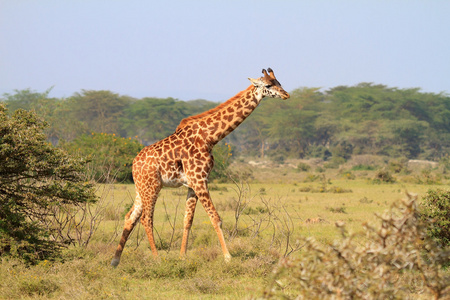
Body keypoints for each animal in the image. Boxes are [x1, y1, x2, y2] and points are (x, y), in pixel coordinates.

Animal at [110, 67, 290, 266]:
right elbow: (215, 218)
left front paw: (182, 256)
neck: (210, 137)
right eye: (268, 85)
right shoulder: (199, 180)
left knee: (130, 217)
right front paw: (228, 257)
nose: (286, 95)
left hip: (141, 188)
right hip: (152, 186)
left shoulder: (193, 183)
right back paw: (156, 259)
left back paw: (115, 260)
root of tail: (134, 164)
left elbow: (187, 220)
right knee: (146, 219)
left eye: (279, 82)